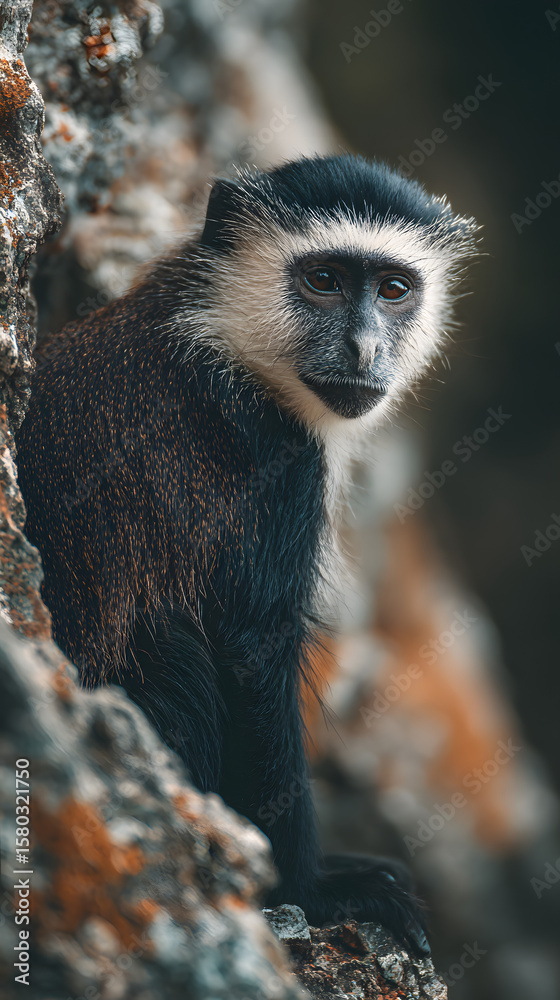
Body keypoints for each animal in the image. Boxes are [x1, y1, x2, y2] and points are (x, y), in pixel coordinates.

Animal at [16, 154, 477, 955]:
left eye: (393, 290)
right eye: (323, 279)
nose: (364, 348)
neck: (225, 341)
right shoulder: (280, 460)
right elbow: (251, 654)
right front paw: (315, 891)